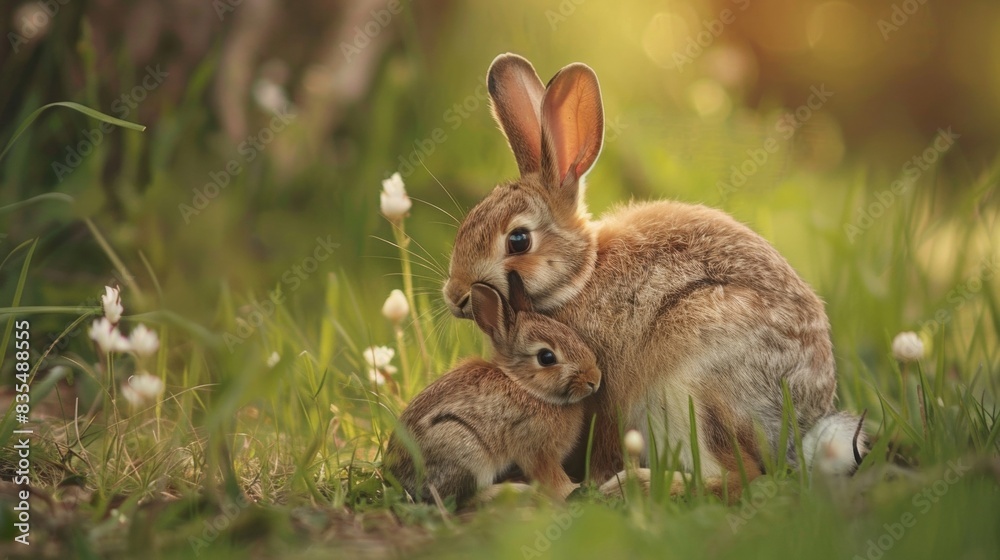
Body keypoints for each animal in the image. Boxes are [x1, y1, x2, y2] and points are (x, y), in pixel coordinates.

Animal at [383, 273, 602, 505]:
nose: (594, 380)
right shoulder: (536, 449)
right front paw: (573, 490)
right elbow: (551, 476)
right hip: (465, 450)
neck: (524, 386)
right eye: (547, 357)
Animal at [442, 53, 867, 499]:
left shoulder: (606, 382)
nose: (454, 295)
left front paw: (591, 482)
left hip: (690, 384)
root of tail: (797, 429)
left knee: (739, 475)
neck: (579, 278)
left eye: (518, 240)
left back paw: (633, 485)